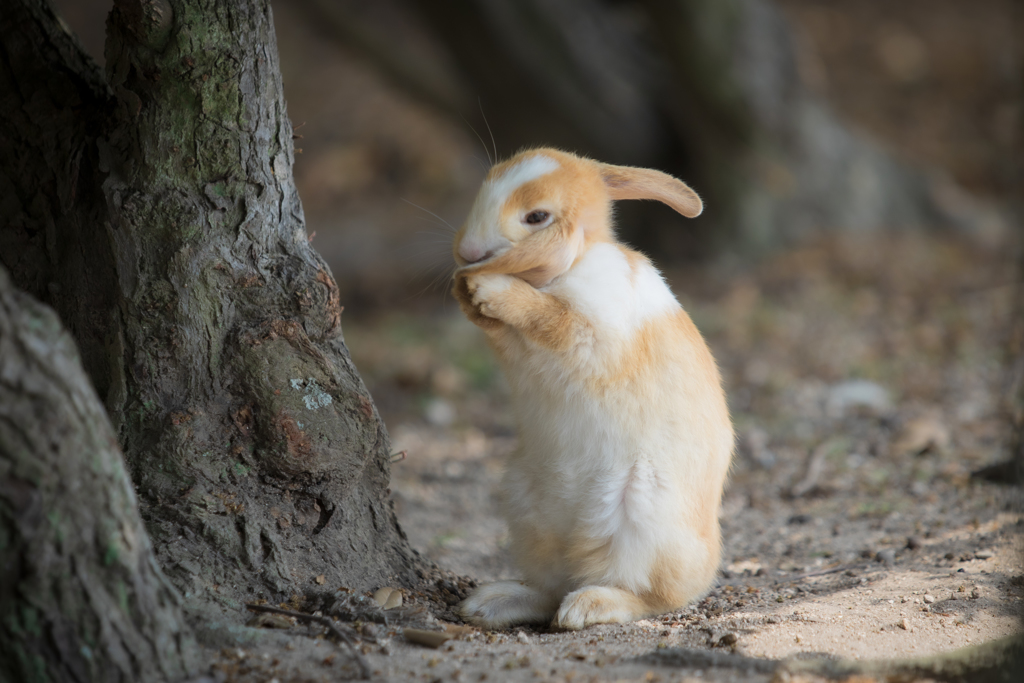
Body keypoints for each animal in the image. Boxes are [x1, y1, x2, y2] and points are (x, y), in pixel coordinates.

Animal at [452, 148, 733, 630]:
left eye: (537, 216)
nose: (467, 252)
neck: (569, 265)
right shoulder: (513, 347)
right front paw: (467, 292)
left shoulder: (590, 329)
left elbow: (548, 316)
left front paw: (490, 288)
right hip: (525, 506)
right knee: (552, 588)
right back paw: (491, 603)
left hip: (641, 516)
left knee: (649, 596)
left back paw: (587, 608)